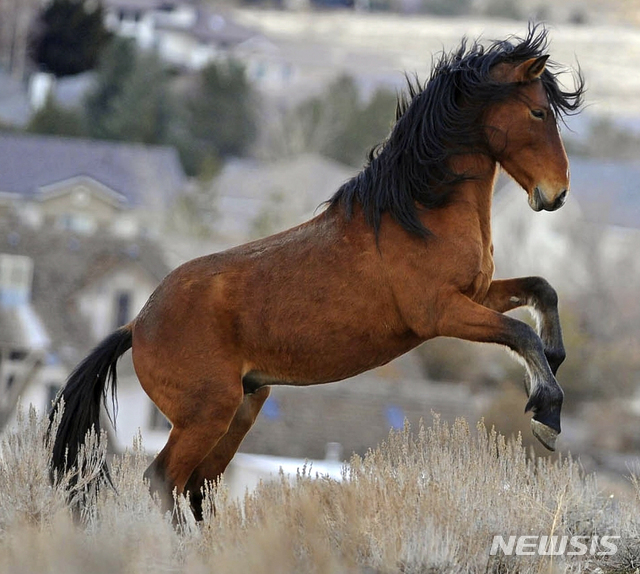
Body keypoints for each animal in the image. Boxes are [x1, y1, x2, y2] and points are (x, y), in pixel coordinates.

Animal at [50, 25, 584, 520]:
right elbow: (520, 333)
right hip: (206, 415)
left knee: (196, 488)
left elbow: (543, 291)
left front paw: (555, 363)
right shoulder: (441, 313)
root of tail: (136, 325)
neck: (417, 211)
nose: (556, 193)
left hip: (242, 408)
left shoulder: (477, 293)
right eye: (538, 113)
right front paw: (547, 414)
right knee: (163, 481)